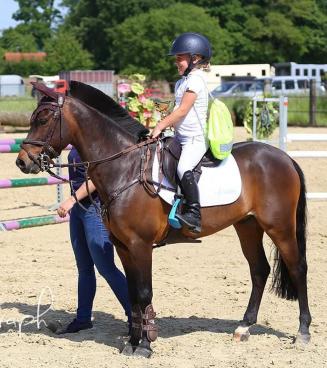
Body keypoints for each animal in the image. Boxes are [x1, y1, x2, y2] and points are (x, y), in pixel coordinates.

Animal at [16, 82, 312, 358]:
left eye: (43, 120)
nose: (22, 162)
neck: (124, 168)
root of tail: (284, 157)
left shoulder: (140, 245)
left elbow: (144, 292)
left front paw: (145, 346)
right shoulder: (123, 246)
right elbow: (133, 295)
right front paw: (132, 343)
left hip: (280, 227)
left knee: (297, 268)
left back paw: (303, 332)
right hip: (247, 226)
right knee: (259, 270)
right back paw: (244, 327)